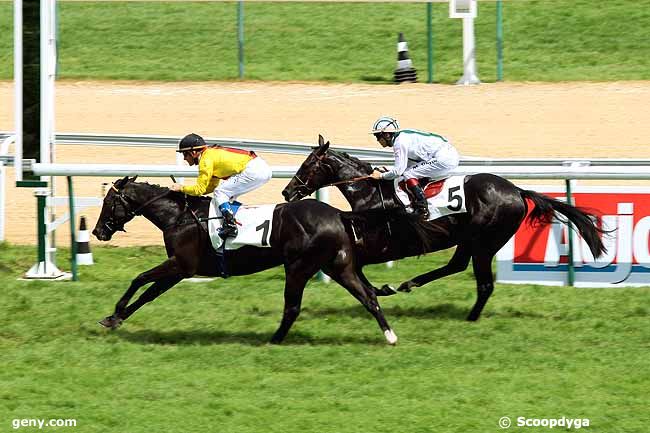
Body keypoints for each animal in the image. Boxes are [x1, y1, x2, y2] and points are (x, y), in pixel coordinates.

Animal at [88, 176, 402, 344]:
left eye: (109, 202)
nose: (97, 231)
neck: (178, 216)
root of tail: (338, 213)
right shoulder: (179, 270)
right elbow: (148, 294)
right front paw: (114, 319)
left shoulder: (182, 264)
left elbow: (138, 279)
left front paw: (115, 312)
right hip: (337, 265)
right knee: (368, 296)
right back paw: (390, 336)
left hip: (299, 266)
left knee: (293, 307)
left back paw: (273, 340)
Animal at [280, 135, 604, 320]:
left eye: (308, 165)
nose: (287, 191)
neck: (371, 194)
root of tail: (516, 190)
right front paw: (381, 289)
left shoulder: (384, 242)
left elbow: (357, 265)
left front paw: (378, 289)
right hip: (470, 238)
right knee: (457, 265)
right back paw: (410, 284)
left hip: (485, 240)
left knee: (483, 283)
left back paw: (469, 317)